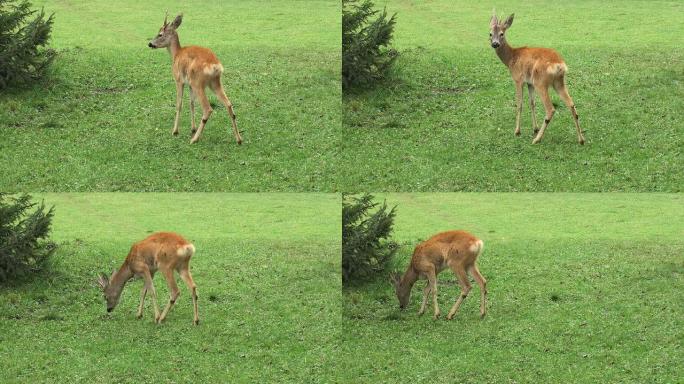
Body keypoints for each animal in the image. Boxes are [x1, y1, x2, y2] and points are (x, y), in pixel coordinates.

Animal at [149, 12, 243, 146]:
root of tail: (215, 66)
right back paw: (239, 139)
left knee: (208, 108)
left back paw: (194, 139)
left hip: (198, 83)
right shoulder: (189, 84)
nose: (150, 44)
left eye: (160, 34)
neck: (176, 54)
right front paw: (192, 128)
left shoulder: (179, 80)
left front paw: (175, 131)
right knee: (229, 105)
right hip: (214, 83)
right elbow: (191, 103)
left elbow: (179, 104)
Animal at [488, 11, 584, 146]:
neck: (511, 58)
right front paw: (535, 128)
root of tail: (559, 65)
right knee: (571, 105)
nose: (495, 44)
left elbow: (519, 104)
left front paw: (517, 131)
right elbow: (532, 103)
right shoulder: (530, 83)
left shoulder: (518, 79)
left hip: (541, 82)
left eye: (502, 34)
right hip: (559, 82)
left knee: (550, 109)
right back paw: (581, 139)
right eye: (490, 34)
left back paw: (537, 139)